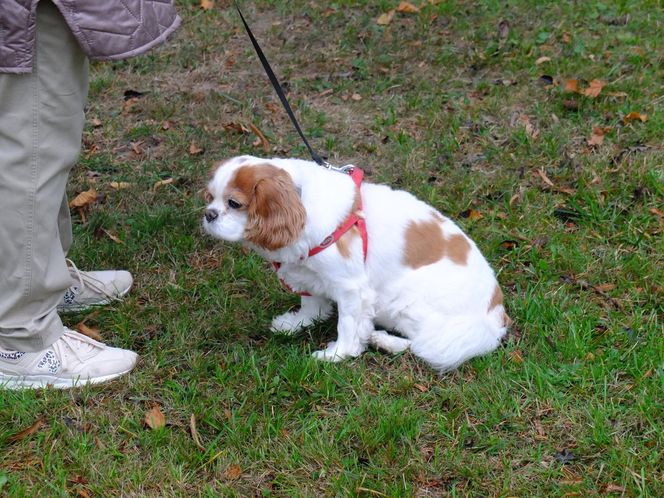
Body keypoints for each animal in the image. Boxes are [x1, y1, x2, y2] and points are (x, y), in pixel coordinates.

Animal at [202, 155, 508, 370]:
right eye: (210, 198)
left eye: (234, 203)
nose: (209, 214)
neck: (299, 204)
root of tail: (495, 318)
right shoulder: (306, 272)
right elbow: (310, 303)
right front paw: (297, 323)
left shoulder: (351, 287)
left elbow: (347, 325)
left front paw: (338, 354)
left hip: (407, 302)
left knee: (425, 344)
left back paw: (384, 340)